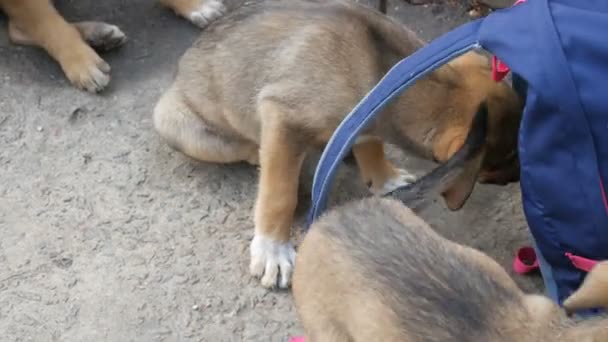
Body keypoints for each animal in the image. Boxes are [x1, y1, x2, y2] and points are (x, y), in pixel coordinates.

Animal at [0, 0, 226, 92]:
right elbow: (49, 26)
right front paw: (81, 64)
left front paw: (193, 5)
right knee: (21, 27)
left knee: (17, 28)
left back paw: (97, 35)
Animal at [153, 0, 524, 288]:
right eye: (503, 157)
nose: (519, 179)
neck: (388, 74)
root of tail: (179, 74)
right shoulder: (282, 114)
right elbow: (278, 193)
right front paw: (273, 249)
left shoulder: (362, 115)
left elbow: (370, 143)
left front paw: (384, 179)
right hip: (177, 123)